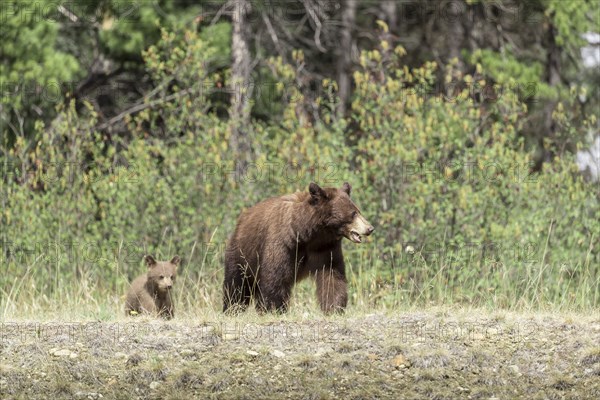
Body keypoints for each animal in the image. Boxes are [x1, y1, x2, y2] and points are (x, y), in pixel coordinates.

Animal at [223, 182, 372, 316]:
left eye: (358, 211)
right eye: (353, 213)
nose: (370, 228)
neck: (309, 234)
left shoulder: (325, 248)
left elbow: (332, 274)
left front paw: (334, 308)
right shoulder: (283, 243)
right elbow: (276, 276)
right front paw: (274, 308)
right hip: (242, 253)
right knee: (237, 283)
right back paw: (232, 308)